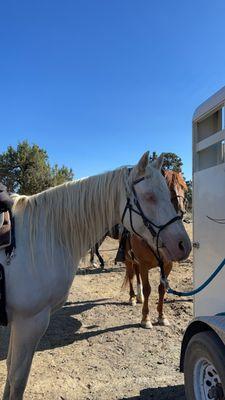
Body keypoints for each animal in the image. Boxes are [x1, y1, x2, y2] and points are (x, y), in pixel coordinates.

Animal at [122, 169, 187, 328]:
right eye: (169, 189)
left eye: (184, 188)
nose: (181, 211)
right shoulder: (144, 265)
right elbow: (148, 289)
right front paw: (145, 318)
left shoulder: (167, 265)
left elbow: (161, 289)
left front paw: (161, 316)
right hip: (128, 259)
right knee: (131, 276)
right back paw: (132, 298)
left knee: (136, 275)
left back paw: (138, 297)